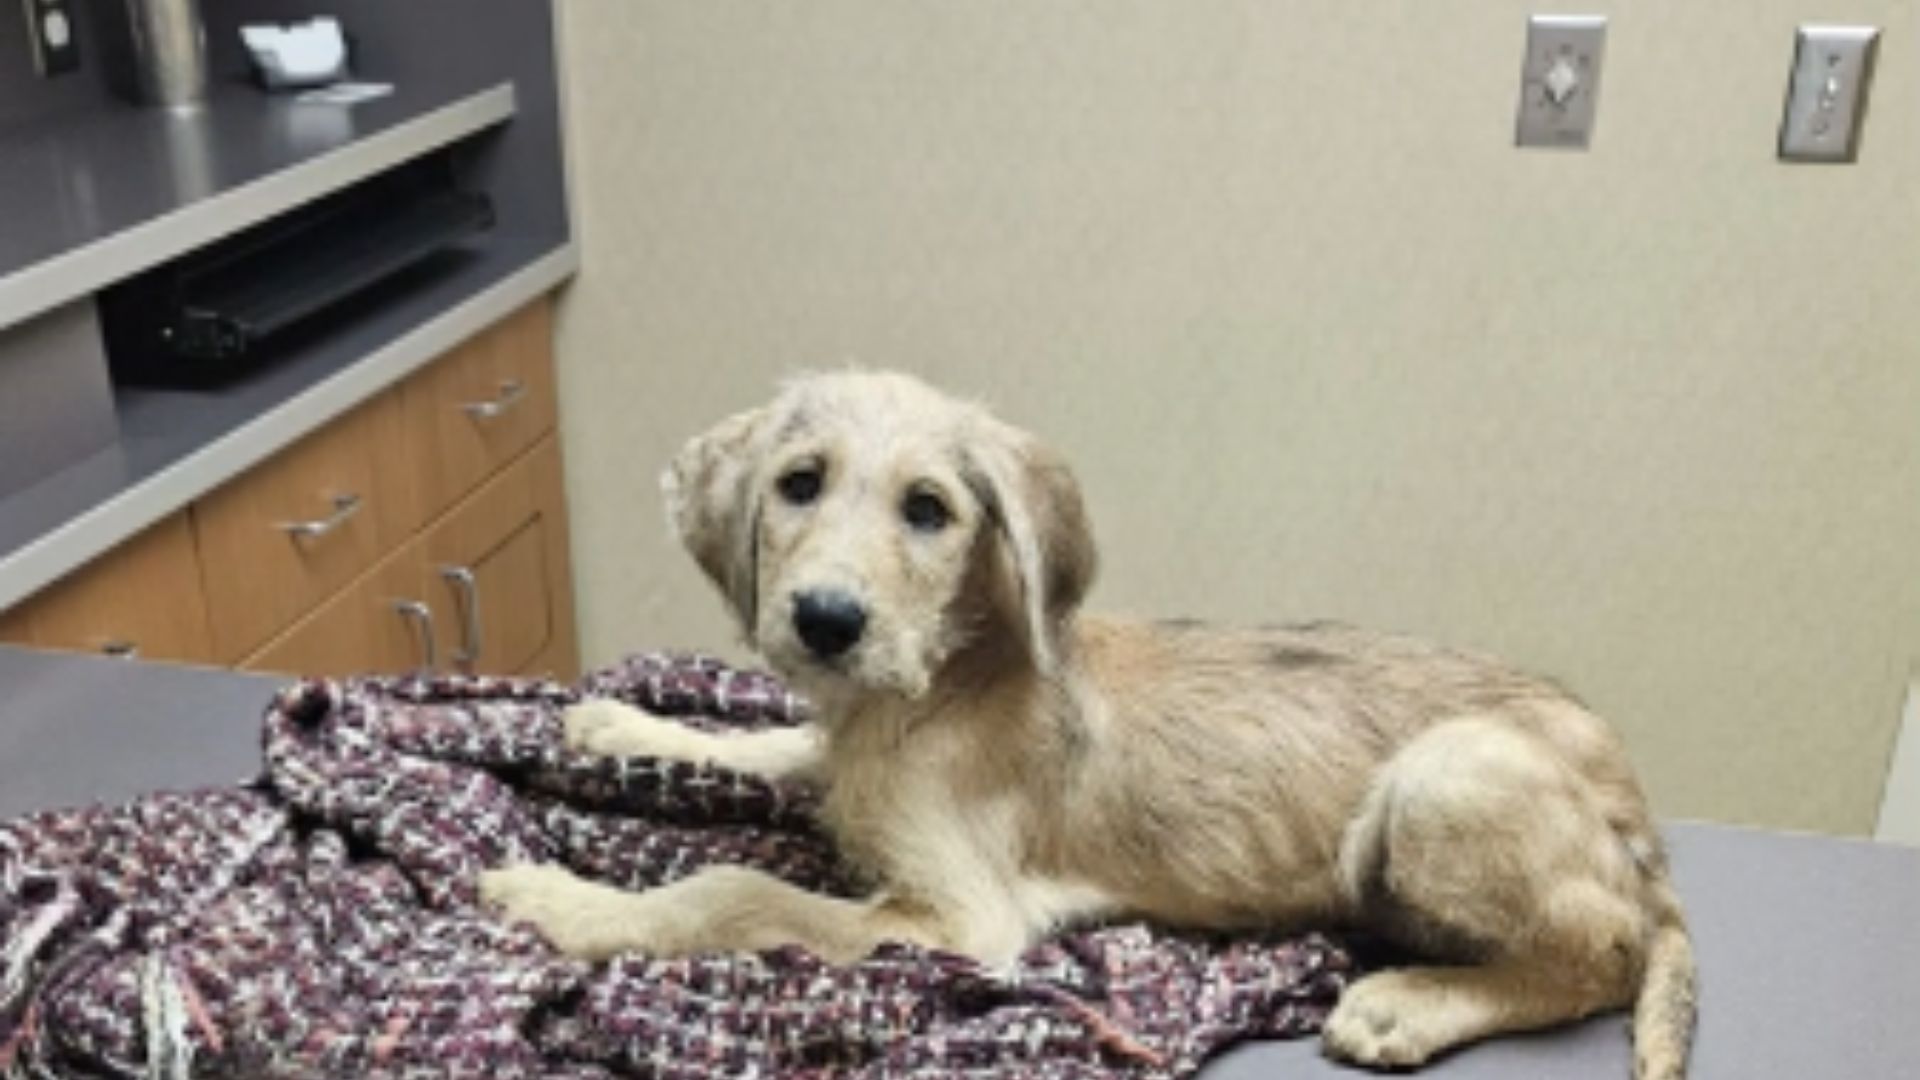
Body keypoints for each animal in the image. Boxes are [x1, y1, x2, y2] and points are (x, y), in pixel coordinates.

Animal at [480, 372, 1697, 1076]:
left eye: (929, 510)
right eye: (798, 483)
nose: (826, 620)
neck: (931, 687)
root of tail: (1639, 818)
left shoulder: (962, 920)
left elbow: (735, 892)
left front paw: (562, 904)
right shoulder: (841, 753)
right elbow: (773, 742)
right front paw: (617, 726)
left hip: (1445, 781)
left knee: (1602, 953)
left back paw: (1409, 1004)